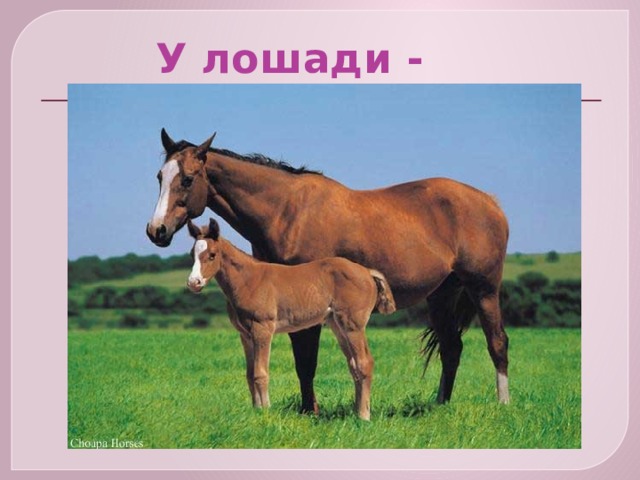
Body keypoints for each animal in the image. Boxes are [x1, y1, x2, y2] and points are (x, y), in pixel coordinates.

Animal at [186, 218, 396, 420]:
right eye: (191, 254)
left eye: (212, 255)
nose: (194, 283)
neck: (249, 281)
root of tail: (366, 272)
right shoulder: (245, 335)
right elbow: (249, 374)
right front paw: (256, 411)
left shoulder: (262, 329)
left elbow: (260, 373)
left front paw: (265, 412)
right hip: (338, 326)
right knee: (354, 366)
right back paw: (357, 411)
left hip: (353, 325)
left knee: (364, 363)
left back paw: (363, 416)